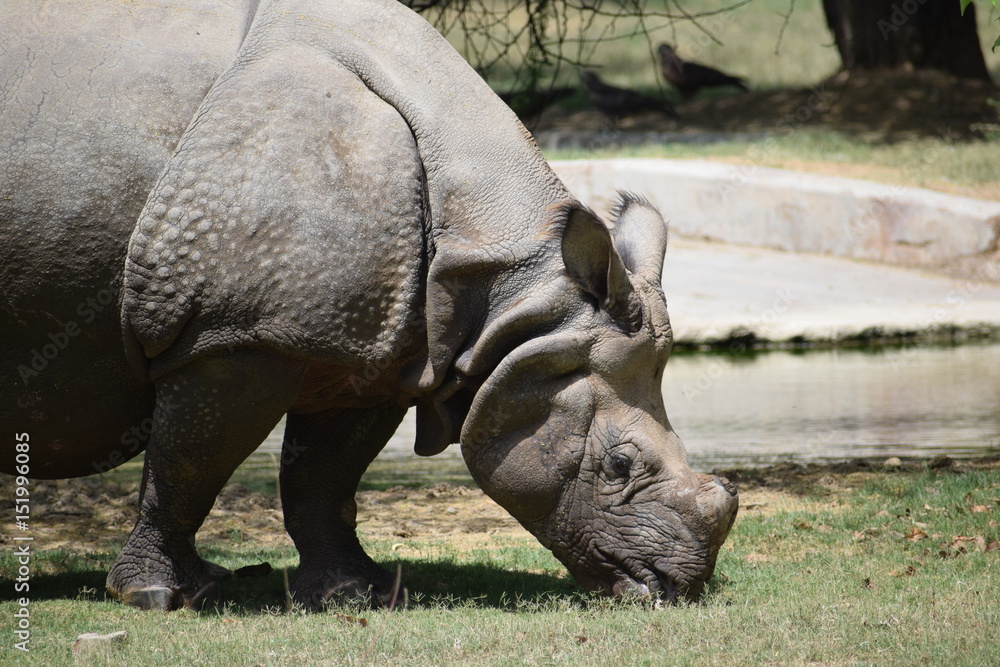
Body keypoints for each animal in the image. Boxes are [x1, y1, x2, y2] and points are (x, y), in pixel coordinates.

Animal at [0, 0, 738, 610]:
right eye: (619, 467)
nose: (680, 585)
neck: (513, 289)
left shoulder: (374, 343)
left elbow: (326, 474)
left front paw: (359, 594)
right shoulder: (238, 334)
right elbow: (188, 465)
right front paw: (159, 597)